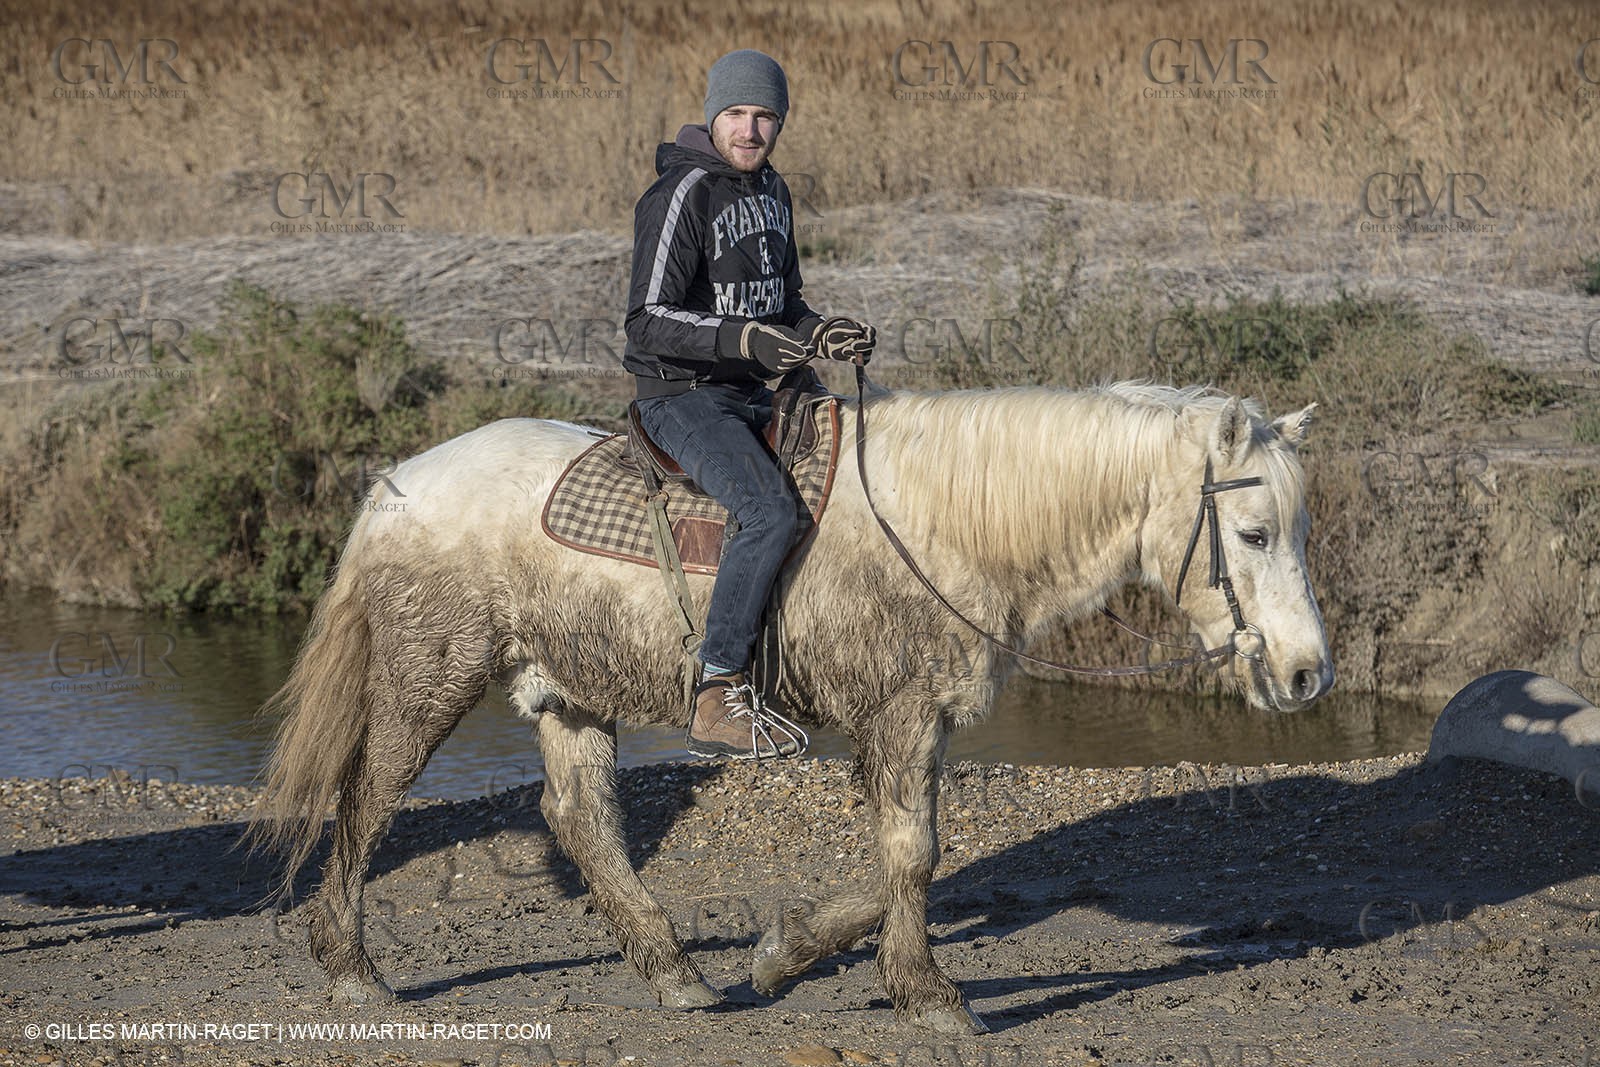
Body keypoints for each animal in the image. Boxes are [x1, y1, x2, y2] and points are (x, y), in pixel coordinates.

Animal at [245, 379, 1332, 1035]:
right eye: (1252, 529)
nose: (1307, 672)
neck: (941, 519)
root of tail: (394, 484)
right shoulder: (897, 712)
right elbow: (914, 852)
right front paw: (928, 993)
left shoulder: (913, 720)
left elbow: (909, 852)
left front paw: (782, 954)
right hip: (431, 675)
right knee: (370, 794)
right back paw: (352, 967)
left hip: (571, 690)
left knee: (580, 817)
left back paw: (676, 971)